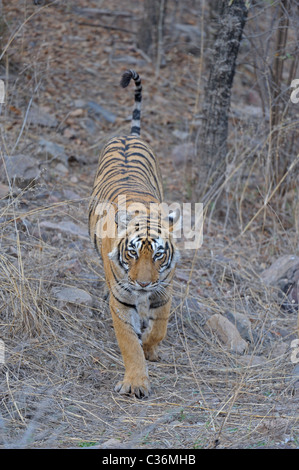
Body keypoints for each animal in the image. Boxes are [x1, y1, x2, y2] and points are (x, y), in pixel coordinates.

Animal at [88, 70, 179, 398]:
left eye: (159, 255)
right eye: (132, 252)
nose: (142, 283)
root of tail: (131, 135)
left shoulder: (164, 290)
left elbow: (159, 327)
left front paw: (151, 347)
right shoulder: (122, 300)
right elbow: (129, 344)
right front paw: (136, 383)